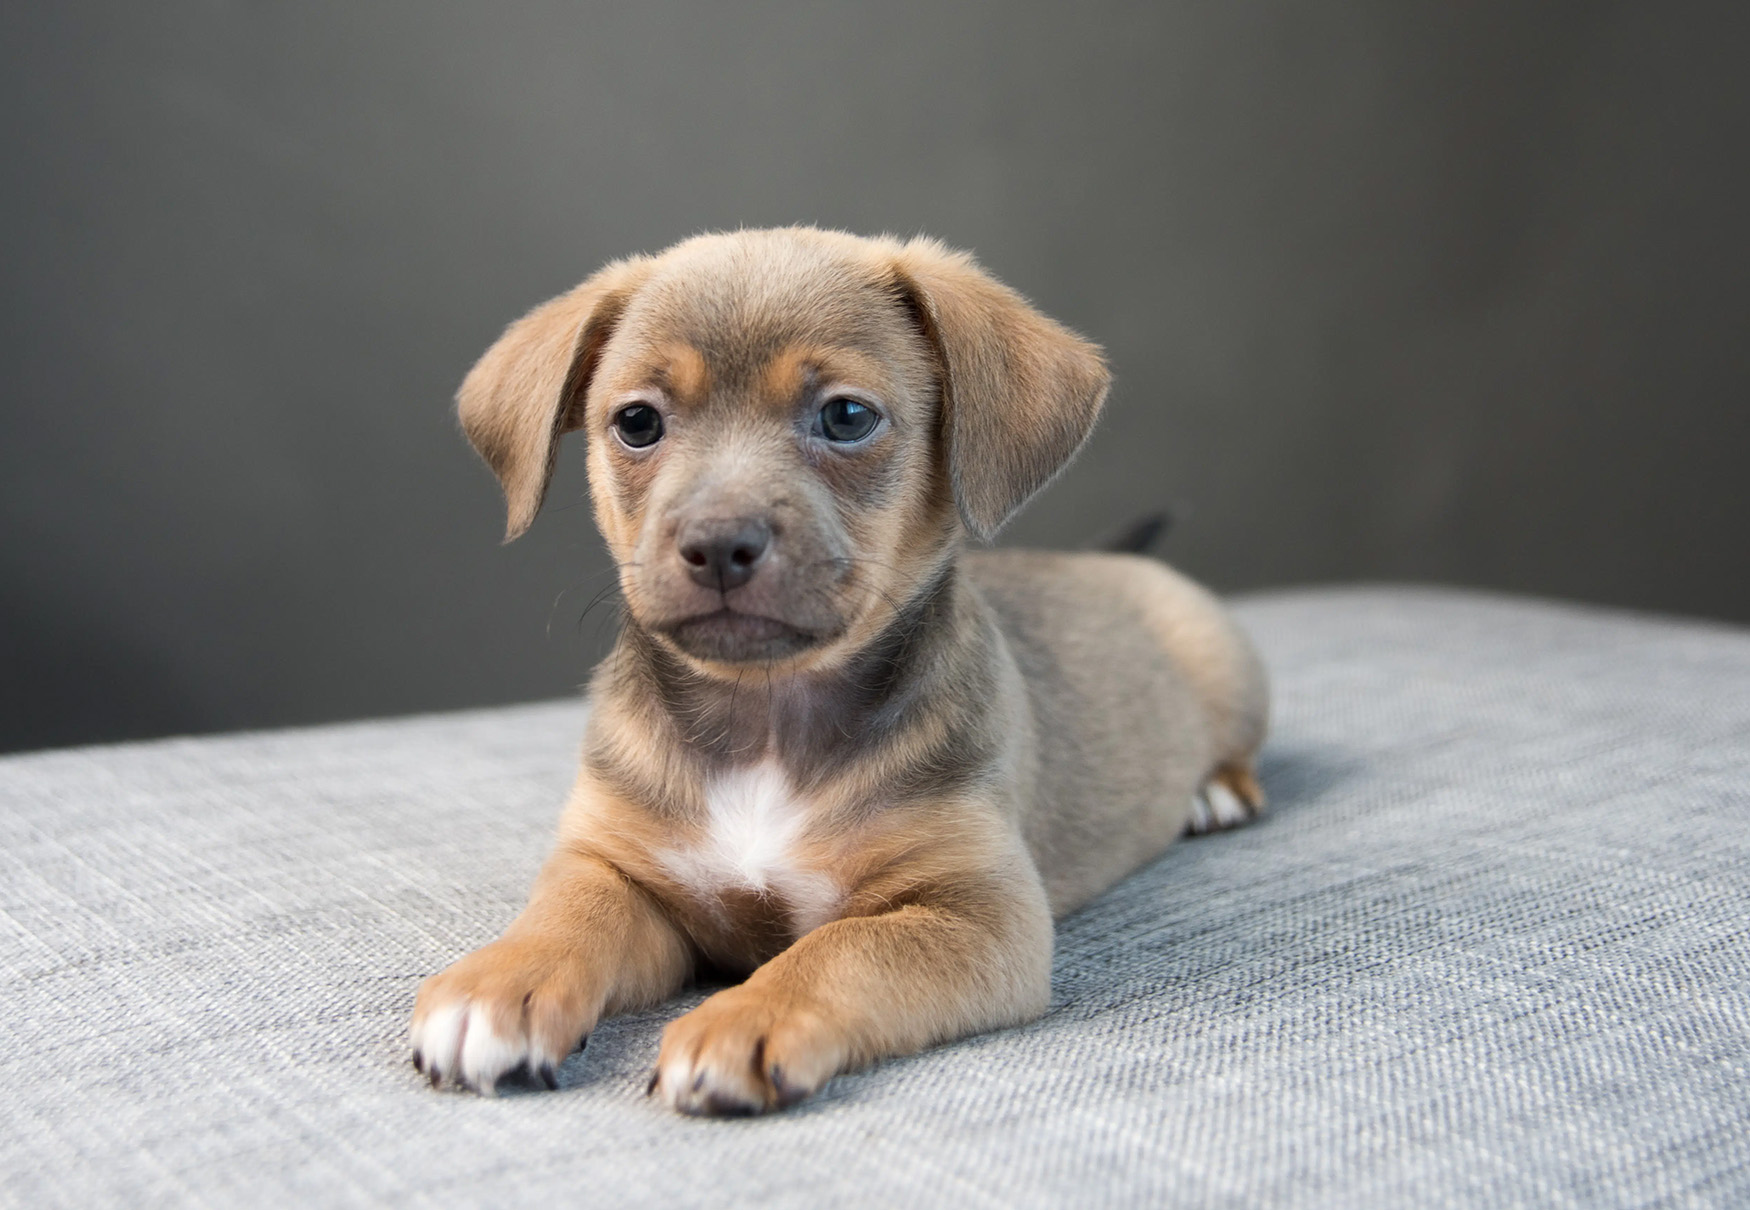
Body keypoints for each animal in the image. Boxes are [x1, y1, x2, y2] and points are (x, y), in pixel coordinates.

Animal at [409, 227, 1267, 1113]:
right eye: (638, 422)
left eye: (847, 416)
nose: (719, 543)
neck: (766, 720)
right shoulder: (618, 867)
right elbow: (567, 914)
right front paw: (498, 984)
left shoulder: (977, 912)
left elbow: (842, 950)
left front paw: (745, 1016)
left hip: (1223, 661)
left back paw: (1214, 792)